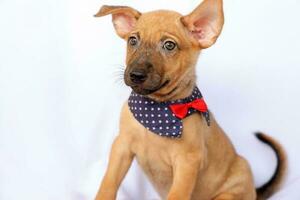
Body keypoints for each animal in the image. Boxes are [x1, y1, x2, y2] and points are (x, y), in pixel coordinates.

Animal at [95, 0, 288, 199]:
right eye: (133, 40)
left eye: (169, 45)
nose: (136, 75)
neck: (154, 111)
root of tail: (254, 192)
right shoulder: (121, 147)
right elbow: (108, 183)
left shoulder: (187, 162)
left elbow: (177, 194)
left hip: (231, 190)